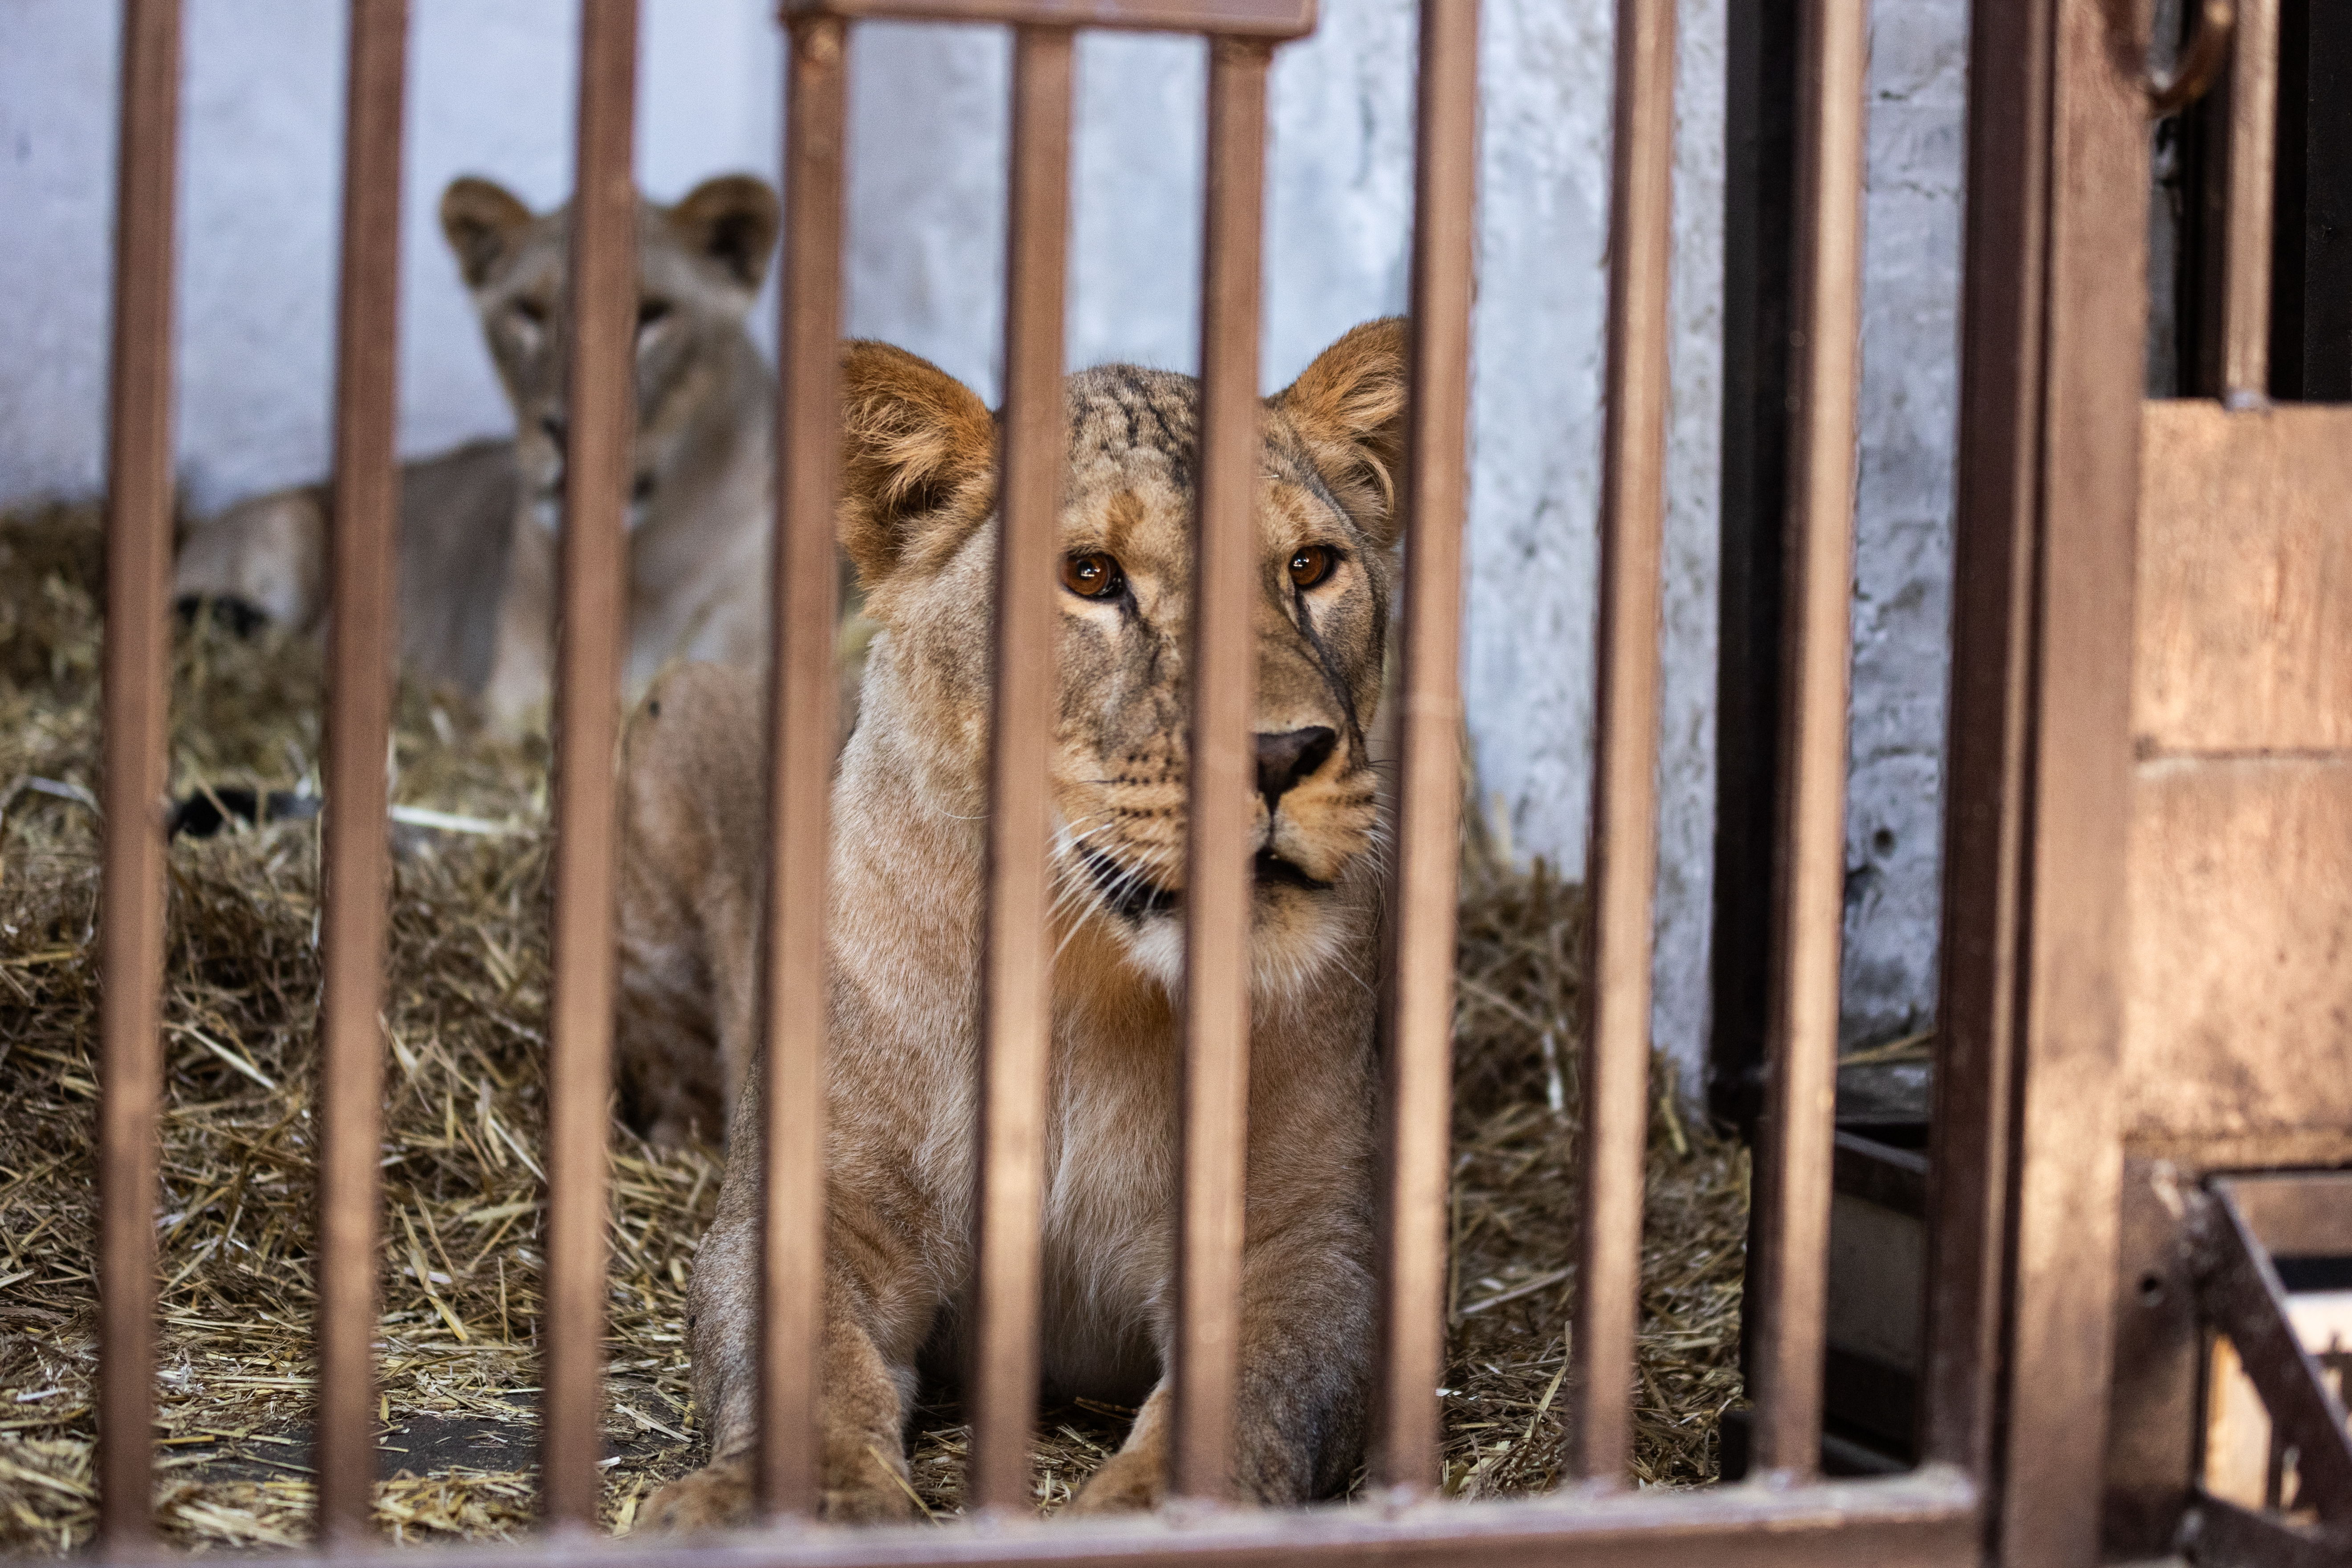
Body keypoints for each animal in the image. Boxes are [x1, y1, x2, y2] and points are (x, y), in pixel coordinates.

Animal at [170, 175, 790, 733]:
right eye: (527, 312)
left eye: (651, 315)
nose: (565, 428)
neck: (643, 555)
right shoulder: (511, 704)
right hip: (288, 519)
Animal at [616, 313, 1402, 1523]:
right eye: (1090, 576)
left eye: (1310, 567)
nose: (1279, 754)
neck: (1079, 976)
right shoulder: (810, 1207)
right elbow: (808, 1363)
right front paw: (796, 1503)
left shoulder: (1306, 1249)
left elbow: (1242, 1407)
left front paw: (1144, 1516)